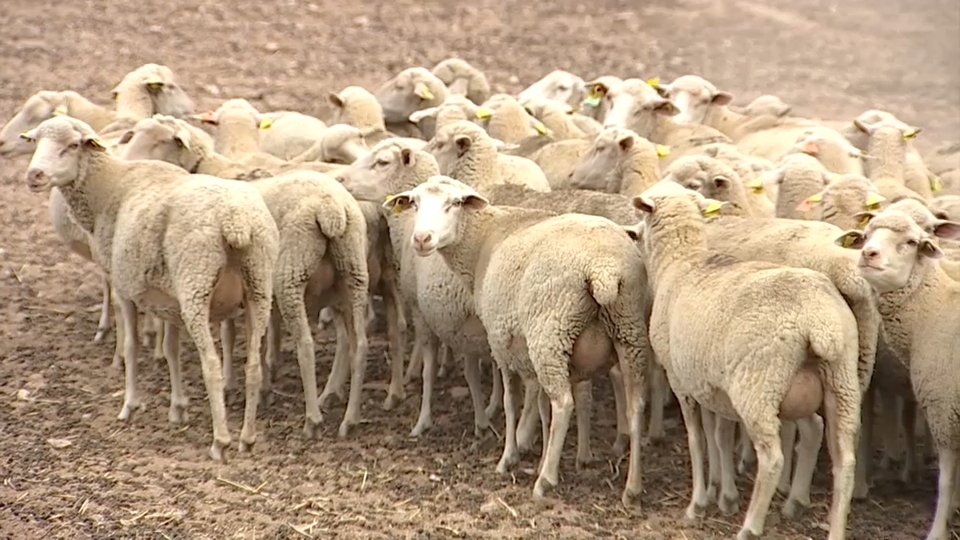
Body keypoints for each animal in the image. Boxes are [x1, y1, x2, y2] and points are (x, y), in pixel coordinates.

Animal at [21, 116, 278, 462]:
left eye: (73, 145)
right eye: (35, 141)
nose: (34, 175)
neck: (110, 188)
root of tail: (235, 221)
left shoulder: (125, 287)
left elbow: (131, 346)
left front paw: (129, 405)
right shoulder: (169, 300)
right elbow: (170, 350)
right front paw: (178, 408)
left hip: (196, 283)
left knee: (211, 366)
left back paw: (220, 441)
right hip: (258, 286)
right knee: (253, 366)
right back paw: (248, 438)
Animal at [119, 115, 372, 438]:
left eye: (160, 141)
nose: (126, 164)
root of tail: (331, 209)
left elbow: (229, 334)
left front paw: (231, 385)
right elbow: (258, 337)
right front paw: (263, 383)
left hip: (291, 274)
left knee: (306, 346)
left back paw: (313, 419)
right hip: (353, 272)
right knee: (359, 345)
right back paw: (349, 419)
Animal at [386, 174, 648, 506]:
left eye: (455, 203)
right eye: (415, 203)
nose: (421, 239)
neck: (483, 242)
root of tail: (604, 269)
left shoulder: (500, 340)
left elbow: (512, 401)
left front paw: (509, 457)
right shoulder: (528, 351)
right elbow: (540, 406)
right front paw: (540, 450)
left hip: (551, 334)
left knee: (564, 404)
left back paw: (545, 481)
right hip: (627, 330)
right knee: (635, 406)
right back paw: (632, 487)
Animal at [632, 179, 864, 536]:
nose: (631, 234)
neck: (681, 263)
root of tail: (818, 320)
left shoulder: (682, 380)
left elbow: (697, 440)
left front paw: (698, 502)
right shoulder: (711, 383)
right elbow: (719, 436)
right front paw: (723, 493)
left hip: (758, 386)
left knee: (773, 457)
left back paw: (751, 526)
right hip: (839, 382)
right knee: (840, 456)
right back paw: (829, 524)